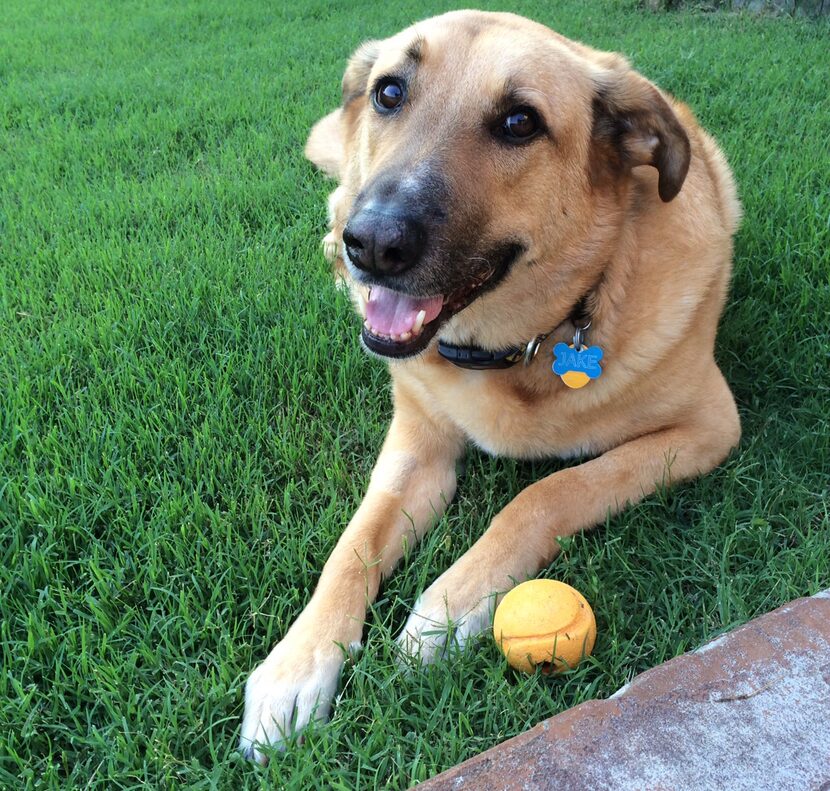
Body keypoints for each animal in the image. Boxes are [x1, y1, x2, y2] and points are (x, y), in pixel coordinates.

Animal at [239, 6, 740, 760]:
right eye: (390, 92)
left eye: (519, 122)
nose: (372, 244)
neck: (514, 348)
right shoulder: (416, 449)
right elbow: (351, 547)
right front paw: (295, 664)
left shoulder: (707, 427)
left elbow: (548, 491)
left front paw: (449, 604)